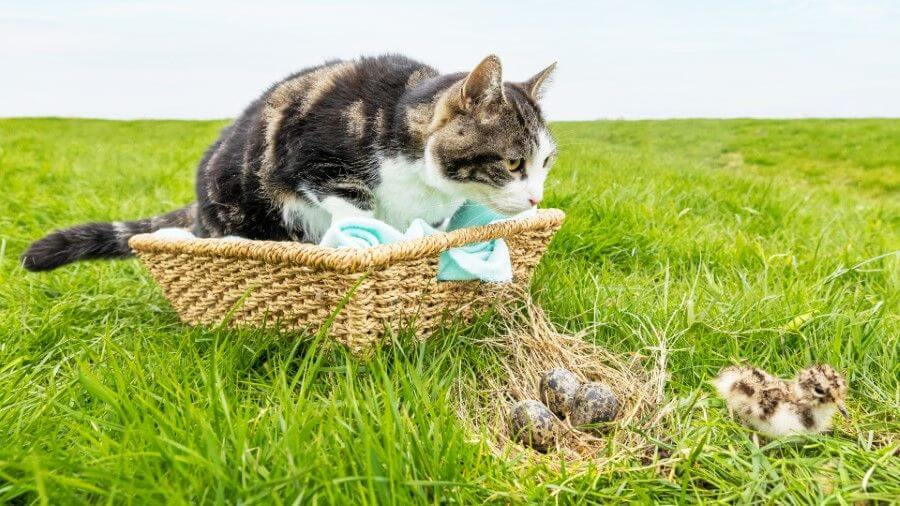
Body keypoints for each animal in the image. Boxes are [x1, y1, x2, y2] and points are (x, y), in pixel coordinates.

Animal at [21, 53, 556, 270]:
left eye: (546, 162)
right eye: (513, 163)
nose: (536, 198)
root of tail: (198, 210)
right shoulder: (310, 158)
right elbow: (351, 203)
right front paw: (371, 238)